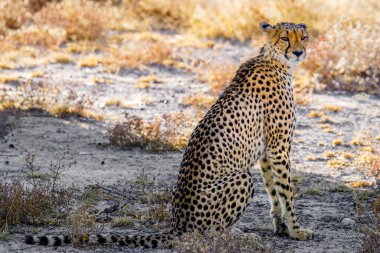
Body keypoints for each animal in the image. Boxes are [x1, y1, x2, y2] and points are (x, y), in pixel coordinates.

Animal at [25, 21, 314, 247]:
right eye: (285, 38)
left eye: (304, 37)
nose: (299, 52)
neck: (275, 61)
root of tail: (178, 223)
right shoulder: (279, 148)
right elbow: (287, 193)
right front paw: (296, 230)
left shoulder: (268, 151)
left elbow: (274, 191)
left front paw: (280, 227)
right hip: (239, 179)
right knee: (206, 234)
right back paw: (238, 236)